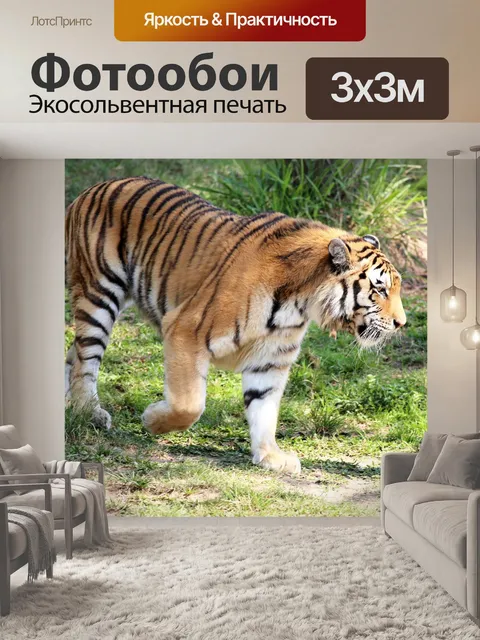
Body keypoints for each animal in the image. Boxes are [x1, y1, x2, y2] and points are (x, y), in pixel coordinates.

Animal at [65, 176, 406, 474]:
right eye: (380, 289)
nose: (402, 323)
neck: (299, 303)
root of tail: (92, 188)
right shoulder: (185, 330)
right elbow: (189, 405)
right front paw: (152, 420)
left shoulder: (271, 359)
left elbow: (264, 408)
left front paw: (270, 456)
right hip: (99, 294)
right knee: (86, 358)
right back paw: (88, 412)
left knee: (73, 352)